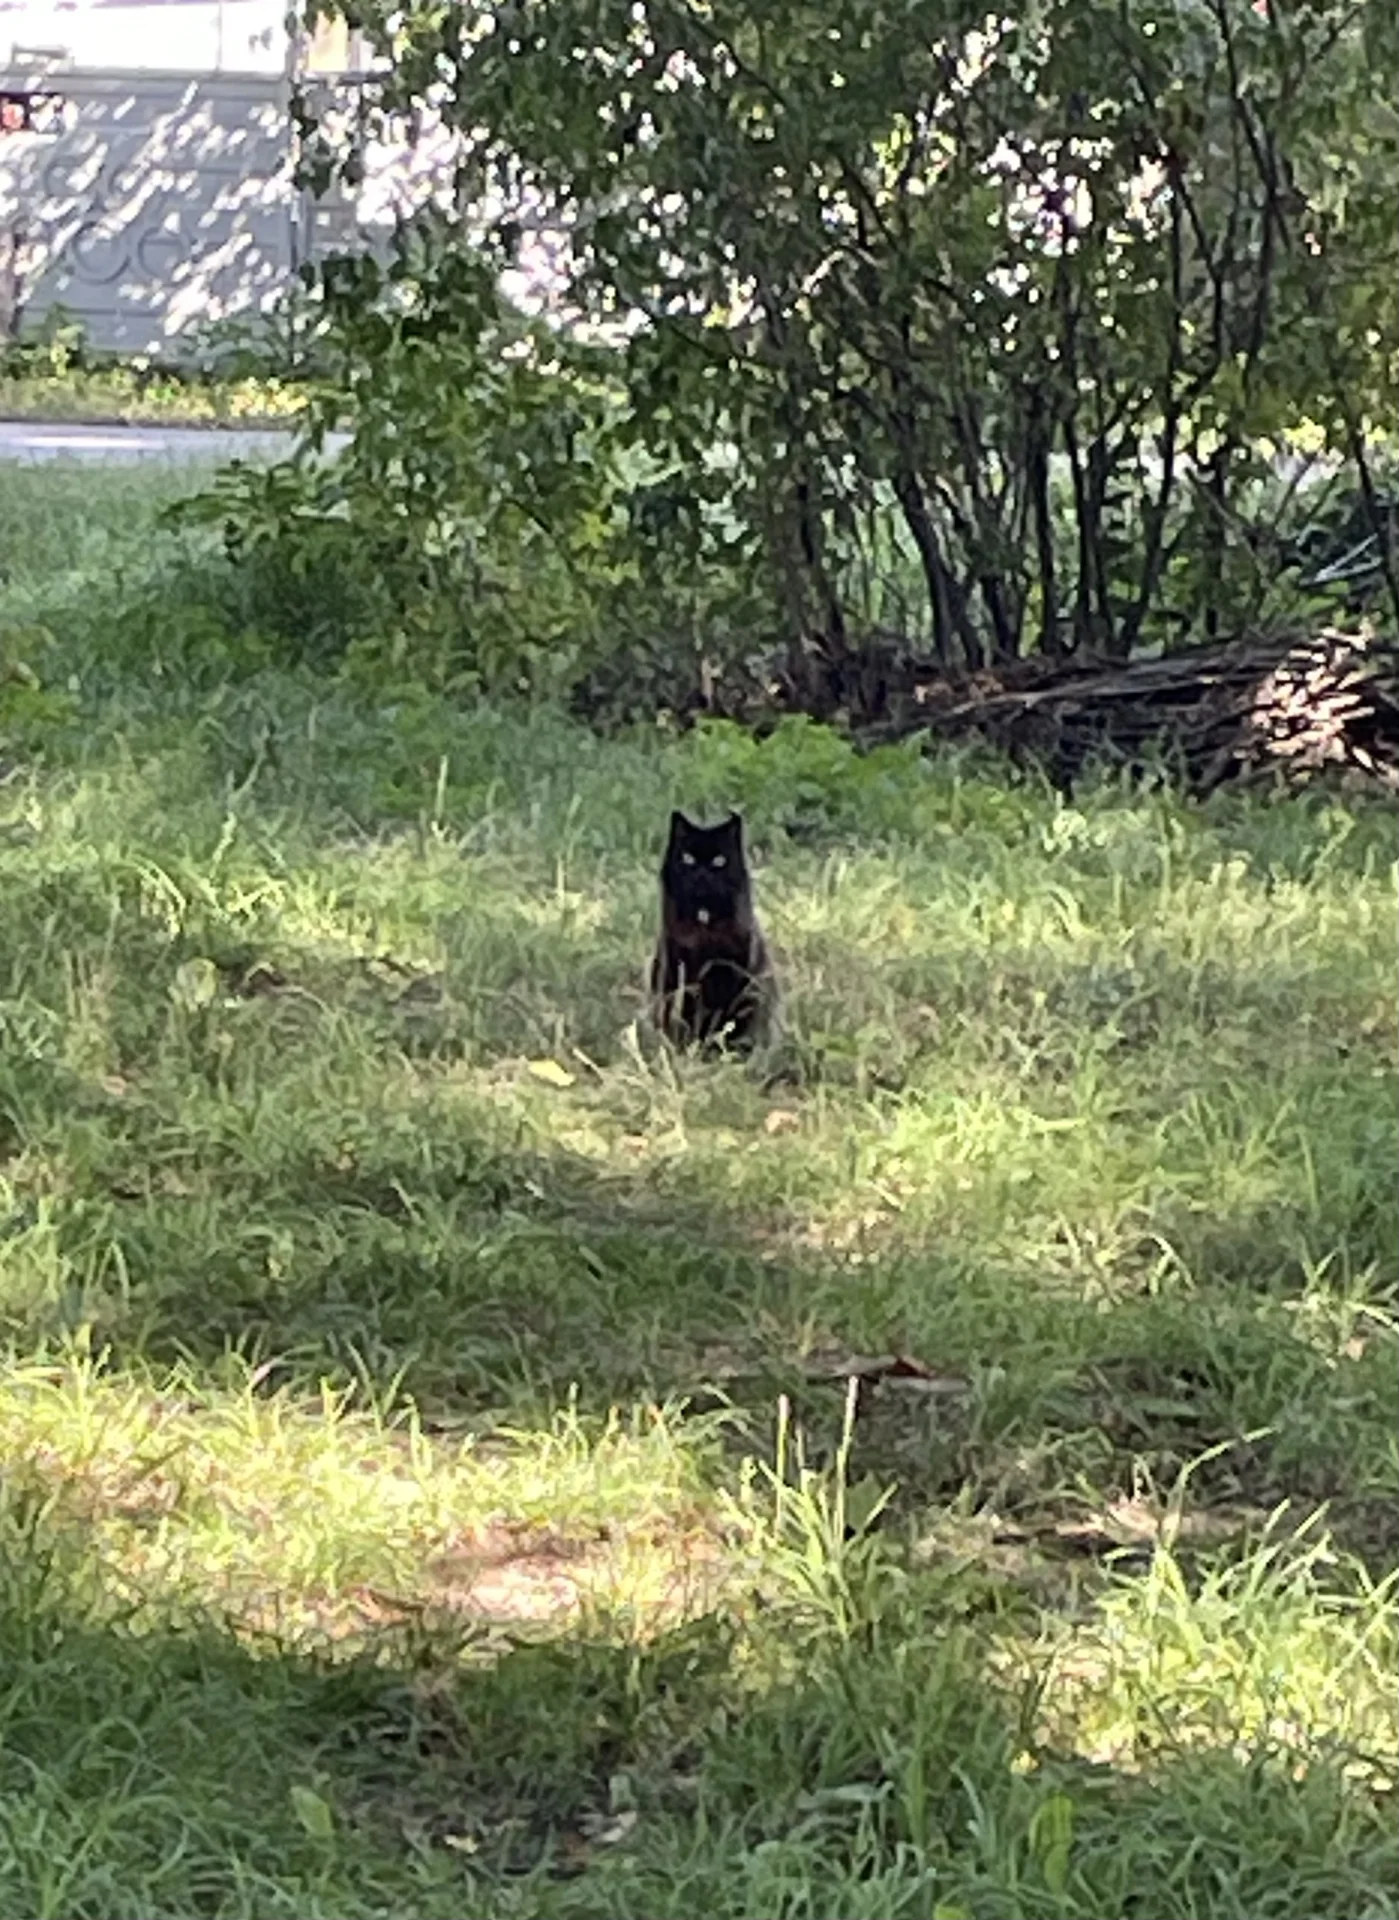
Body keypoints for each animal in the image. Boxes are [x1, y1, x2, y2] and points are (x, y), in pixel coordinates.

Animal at [650, 809, 776, 1050]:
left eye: (719, 861)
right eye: (688, 858)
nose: (702, 874)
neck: (704, 928)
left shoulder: (734, 972)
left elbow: (726, 1020)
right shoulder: (678, 968)